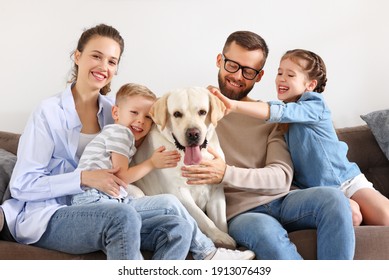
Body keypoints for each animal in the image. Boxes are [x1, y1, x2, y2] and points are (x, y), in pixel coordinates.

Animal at [133, 87, 235, 247]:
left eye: (202, 112)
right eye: (177, 114)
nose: (193, 134)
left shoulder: (216, 192)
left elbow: (221, 222)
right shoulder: (179, 192)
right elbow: (204, 219)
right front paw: (220, 236)